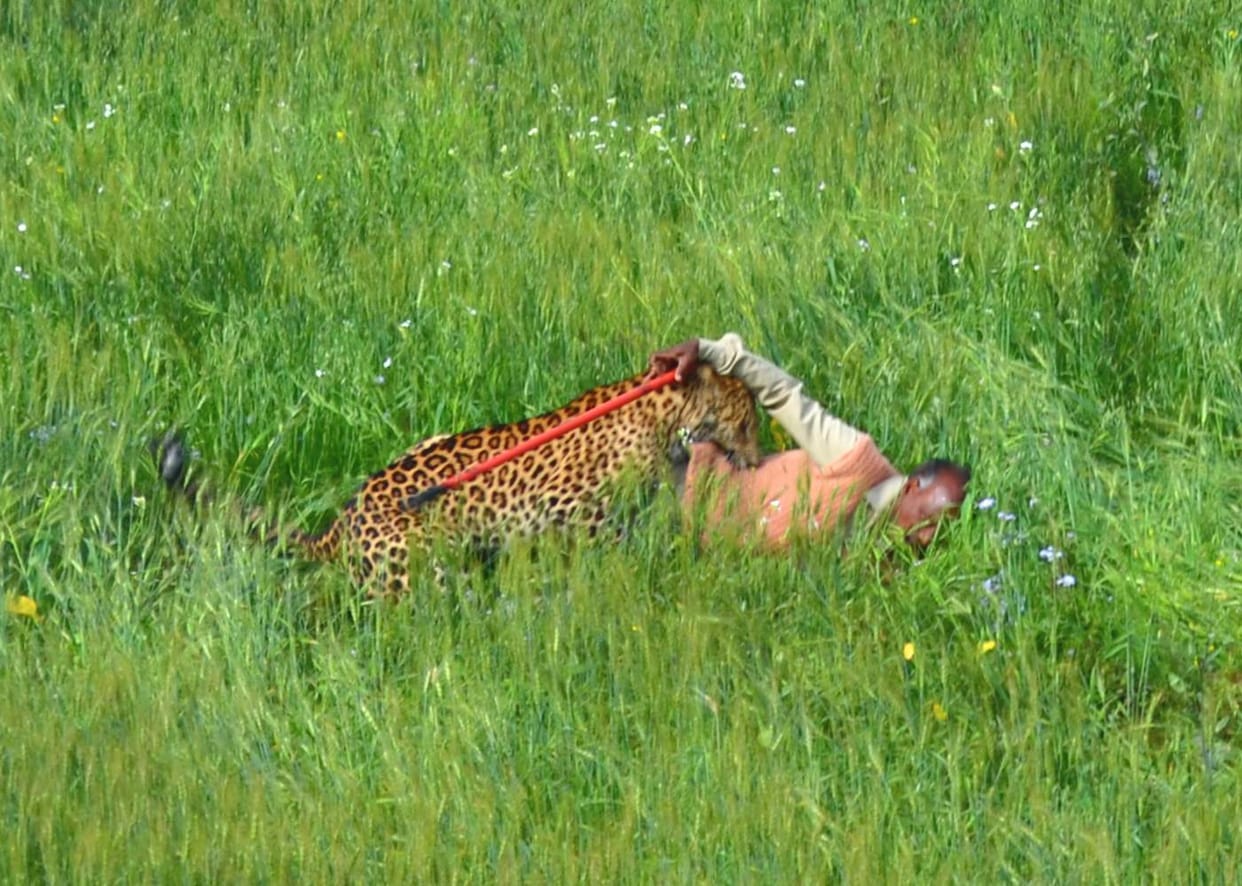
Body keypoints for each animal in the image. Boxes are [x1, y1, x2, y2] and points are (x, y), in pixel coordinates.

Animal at [156, 364, 759, 596]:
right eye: (748, 420)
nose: (758, 457)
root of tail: (340, 524)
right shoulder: (566, 506)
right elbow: (608, 544)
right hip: (423, 563)